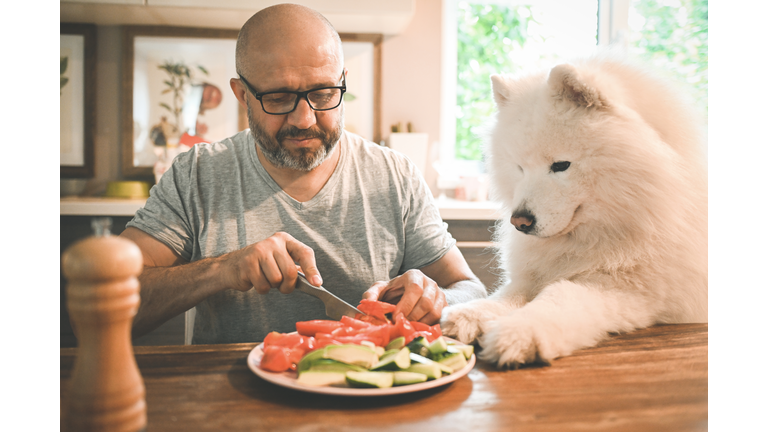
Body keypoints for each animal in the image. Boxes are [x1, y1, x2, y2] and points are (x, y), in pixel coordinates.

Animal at [440, 55, 704, 368]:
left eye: (561, 165)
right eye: (519, 168)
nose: (519, 221)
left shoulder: (628, 289)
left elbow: (559, 296)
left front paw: (518, 332)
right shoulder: (532, 275)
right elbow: (507, 295)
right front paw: (470, 314)